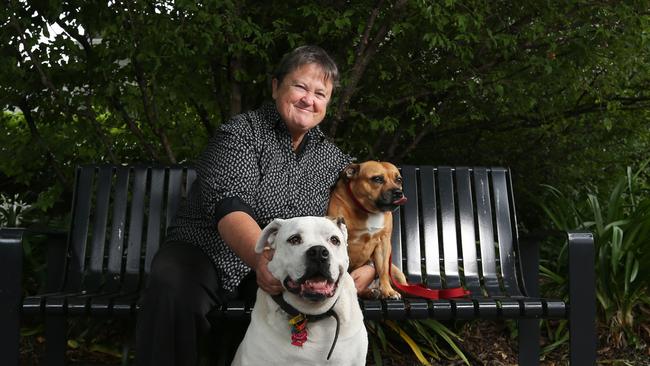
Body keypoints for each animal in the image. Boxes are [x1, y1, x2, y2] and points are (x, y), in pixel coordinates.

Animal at [330, 162, 404, 298]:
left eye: (399, 180)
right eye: (377, 179)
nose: (398, 192)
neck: (369, 211)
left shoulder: (383, 242)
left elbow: (383, 270)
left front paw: (388, 291)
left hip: (396, 273)